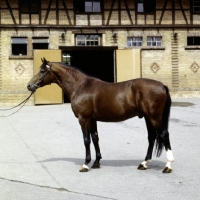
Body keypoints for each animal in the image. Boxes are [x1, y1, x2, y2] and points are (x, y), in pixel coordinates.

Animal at [27, 57, 174, 173]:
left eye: (42, 71)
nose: (29, 85)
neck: (81, 86)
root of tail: (162, 85)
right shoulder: (92, 120)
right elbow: (95, 138)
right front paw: (96, 162)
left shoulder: (84, 119)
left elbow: (86, 140)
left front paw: (86, 164)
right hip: (148, 117)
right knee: (152, 137)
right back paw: (144, 163)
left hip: (154, 117)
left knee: (164, 135)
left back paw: (168, 166)